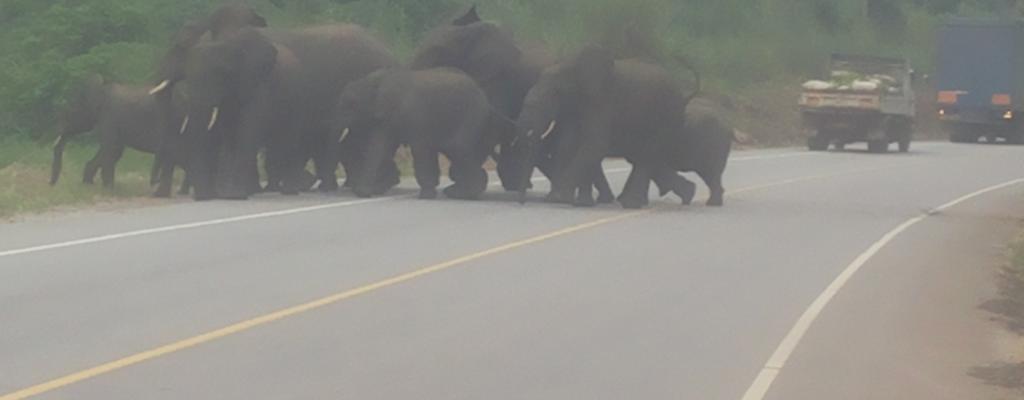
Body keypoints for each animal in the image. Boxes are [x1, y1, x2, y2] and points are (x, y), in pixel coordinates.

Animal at [50, 76, 188, 194]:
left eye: (70, 112)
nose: (51, 185)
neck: (102, 86)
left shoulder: (109, 117)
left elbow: (111, 149)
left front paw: (107, 190)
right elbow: (114, 151)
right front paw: (89, 186)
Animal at [332, 67, 492, 200]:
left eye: (350, 104)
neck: (373, 81)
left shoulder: (415, 116)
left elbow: (419, 148)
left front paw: (425, 196)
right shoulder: (386, 118)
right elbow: (378, 147)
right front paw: (363, 192)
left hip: (472, 113)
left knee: (458, 147)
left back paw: (464, 194)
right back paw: (462, 192)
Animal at [511, 45, 702, 209]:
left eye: (556, 92)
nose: (522, 202)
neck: (573, 64)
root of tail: (683, 94)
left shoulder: (602, 100)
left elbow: (594, 144)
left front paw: (560, 198)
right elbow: (570, 143)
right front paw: (573, 202)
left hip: (667, 116)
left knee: (647, 154)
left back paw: (633, 203)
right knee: (642, 156)